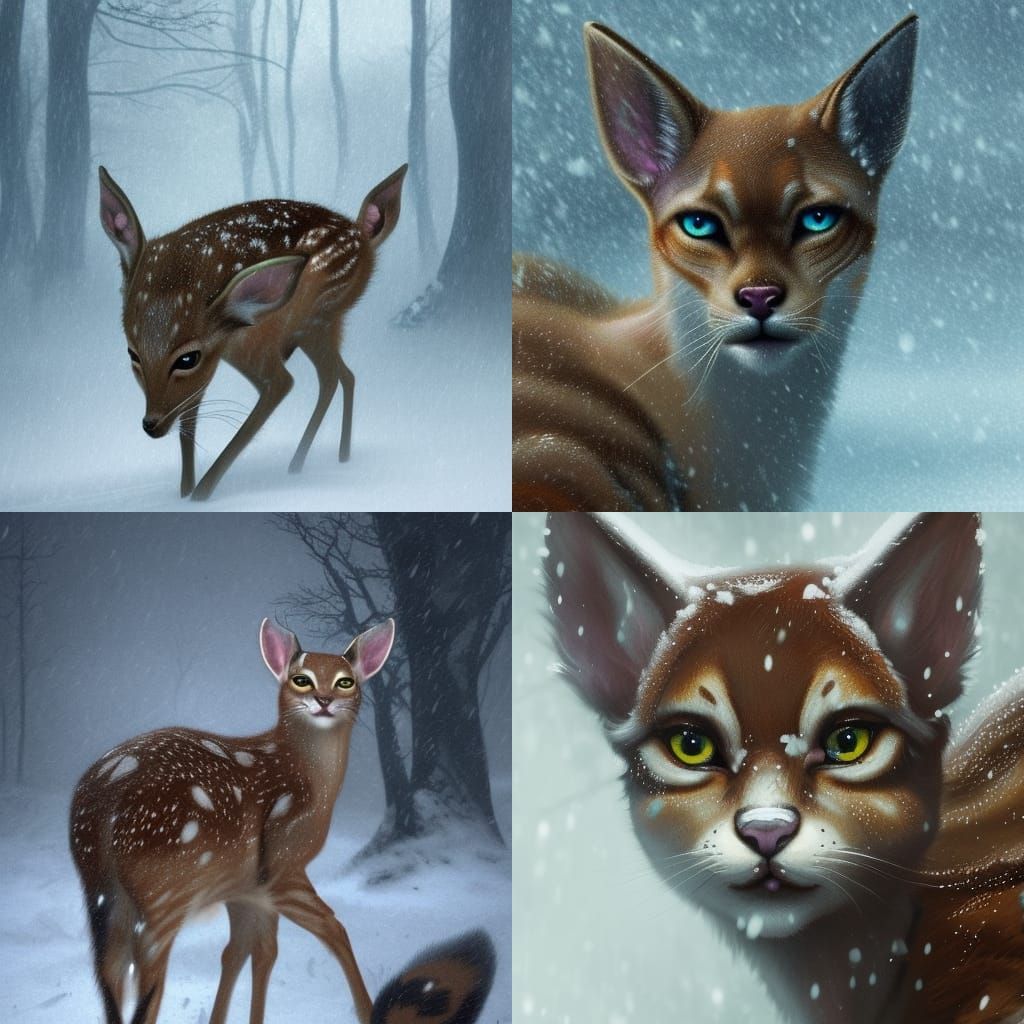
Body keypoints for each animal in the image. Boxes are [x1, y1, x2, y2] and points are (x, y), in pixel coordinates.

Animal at [69, 617, 496, 1024]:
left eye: (345, 681)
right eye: (300, 678)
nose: (323, 700)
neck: (307, 777)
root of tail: (104, 801)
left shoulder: (245, 888)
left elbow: (249, 952)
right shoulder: (282, 865)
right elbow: (332, 929)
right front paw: (368, 1012)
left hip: (101, 889)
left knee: (109, 971)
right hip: (165, 885)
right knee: (146, 980)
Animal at [98, 164, 407, 501]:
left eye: (187, 358)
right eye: (133, 353)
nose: (150, 425)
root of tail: (363, 234)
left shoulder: (233, 352)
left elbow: (279, 385)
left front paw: (200, 496)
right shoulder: (206, 369)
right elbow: (189, 417)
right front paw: (184, 493)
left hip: (311, 318)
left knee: (323, 377)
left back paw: (300, 464)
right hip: (320, 324)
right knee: (342, 374)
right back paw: (331, 458)